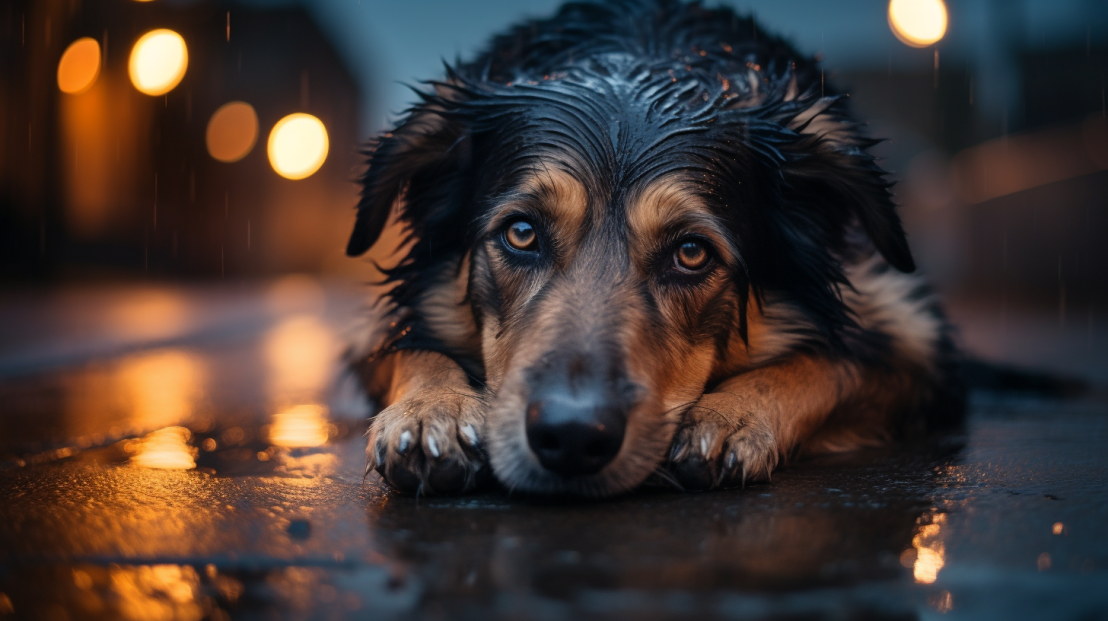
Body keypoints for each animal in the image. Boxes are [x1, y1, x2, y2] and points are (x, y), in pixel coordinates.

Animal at [345, 0, 961, 494]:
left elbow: (831, 362)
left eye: (691, 253)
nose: (571, 437)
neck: (639, 57)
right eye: (521, 234)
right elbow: (410, 346)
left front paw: (731, 416)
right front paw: (434, 411)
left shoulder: (913, 331)